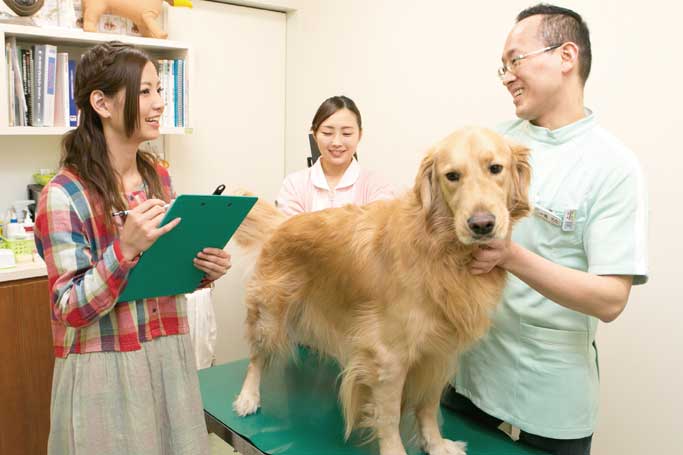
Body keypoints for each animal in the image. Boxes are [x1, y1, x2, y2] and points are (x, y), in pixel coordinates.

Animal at [232, 127, 532, 455]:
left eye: (495, 168)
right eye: (452, 176)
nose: (482, 224)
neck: (443, 251)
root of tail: (283, 222)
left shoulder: (439, 353)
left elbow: (428, 406)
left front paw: (435, 443)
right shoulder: (389, 357)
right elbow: (388, 417)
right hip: (269, 316)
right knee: (256, 358)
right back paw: (248, 397)